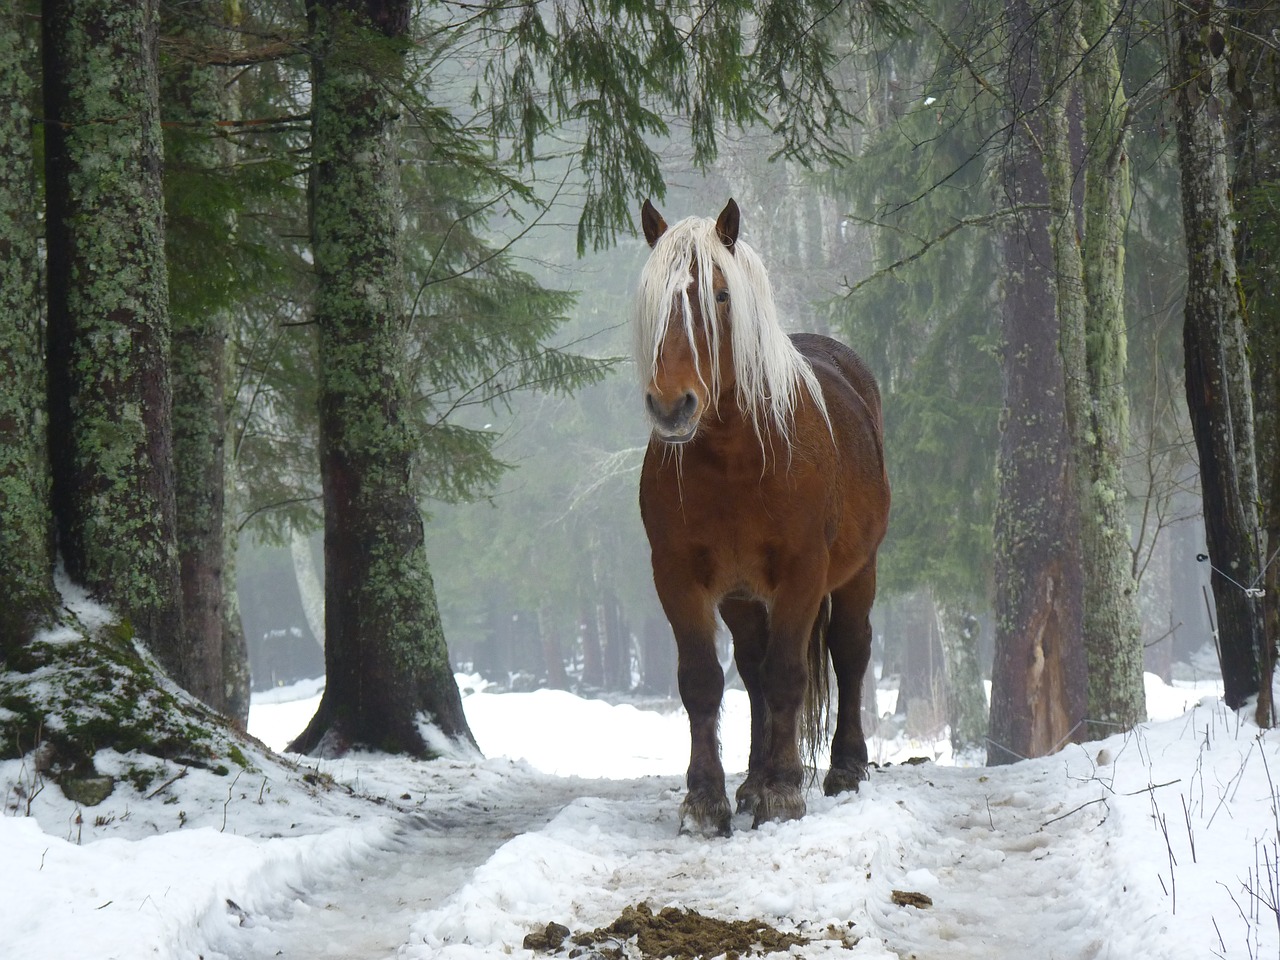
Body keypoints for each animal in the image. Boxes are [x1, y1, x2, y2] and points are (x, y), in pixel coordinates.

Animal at [632, 197, 890, 834]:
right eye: (652, 299)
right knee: (750, 671)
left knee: (849, 652)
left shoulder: (803, 573)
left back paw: (843, 768)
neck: (737, 460)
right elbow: (703, 682)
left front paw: (784, 792)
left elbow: (788, 675)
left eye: (721, 296)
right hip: (742, 596)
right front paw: (707, 799)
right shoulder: (680, 578)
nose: (672, 406)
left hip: (858, 572)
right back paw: (750, 779)